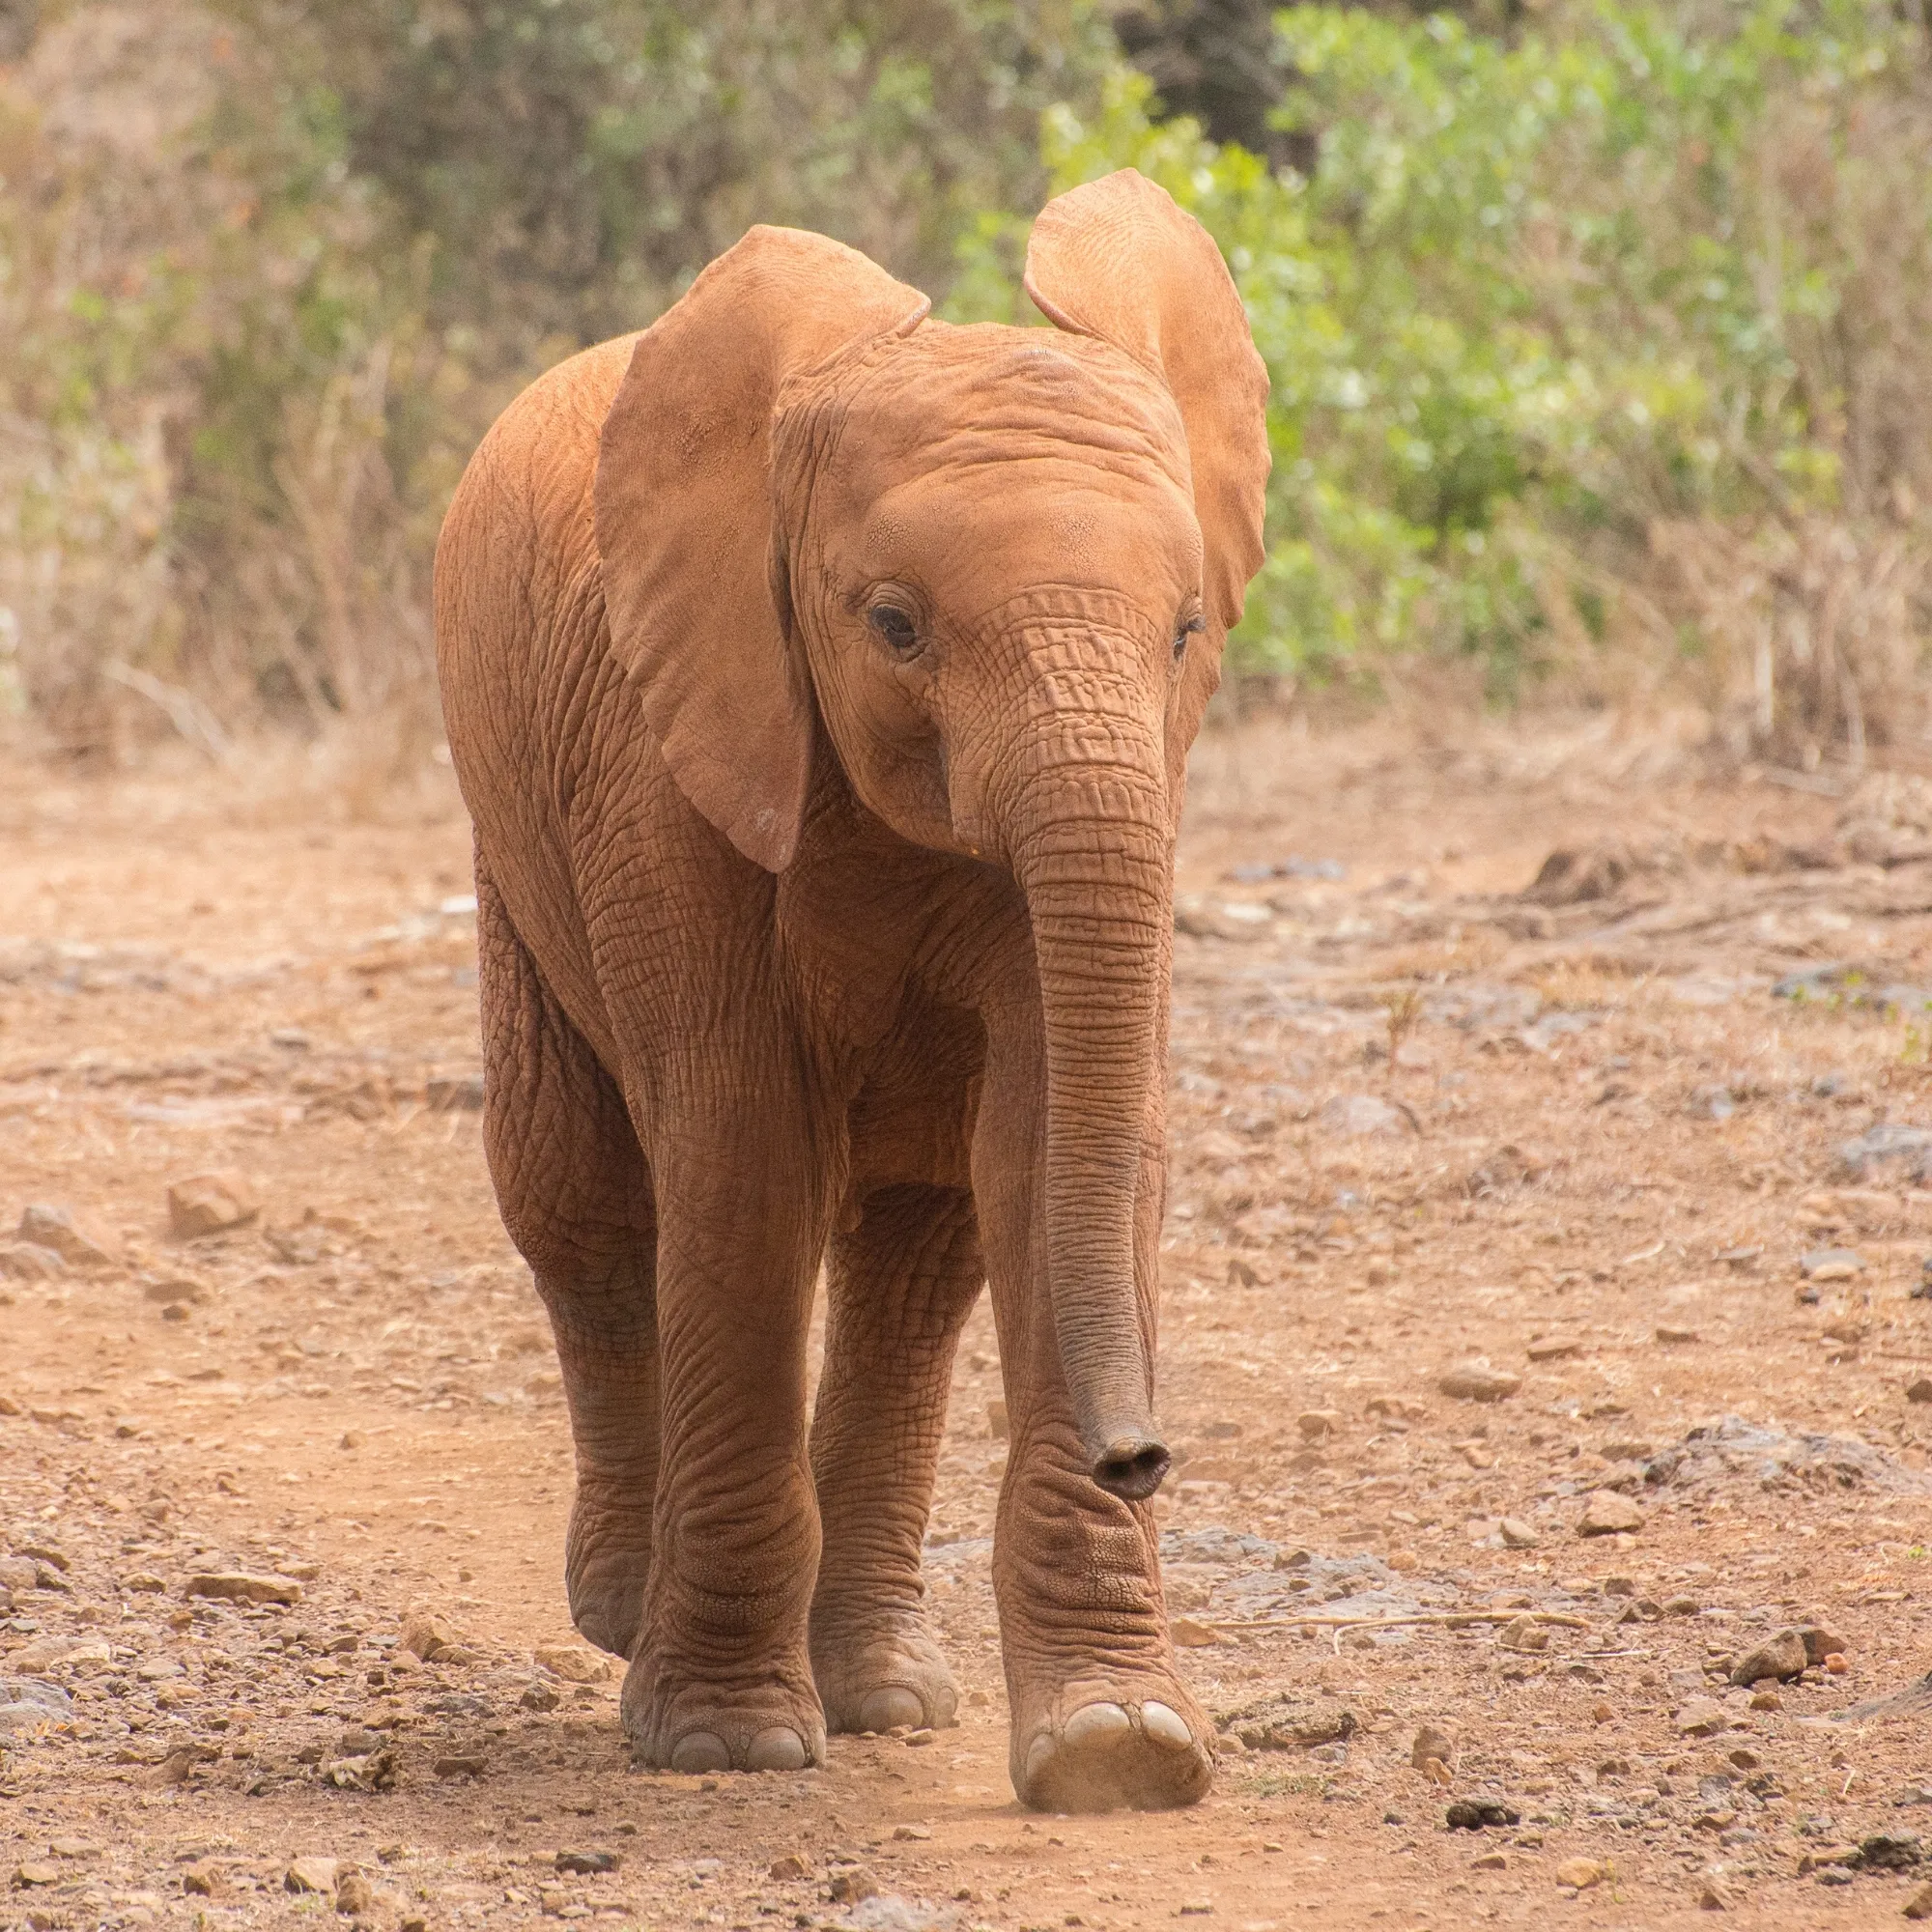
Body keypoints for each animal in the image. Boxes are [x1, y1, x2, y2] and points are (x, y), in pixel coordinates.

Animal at [434, 167, 1270, 1813]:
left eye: (1187, 632)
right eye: (893, 626)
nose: (1143, 1455)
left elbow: (1060, 1143)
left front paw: (1119, 1755)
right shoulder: (663, 757)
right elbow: (741, 1157)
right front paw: (726, 1746)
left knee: (923, 1250)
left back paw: (882, 1692)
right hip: (510, 847)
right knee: (577, 1197)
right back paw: (622, 1613)